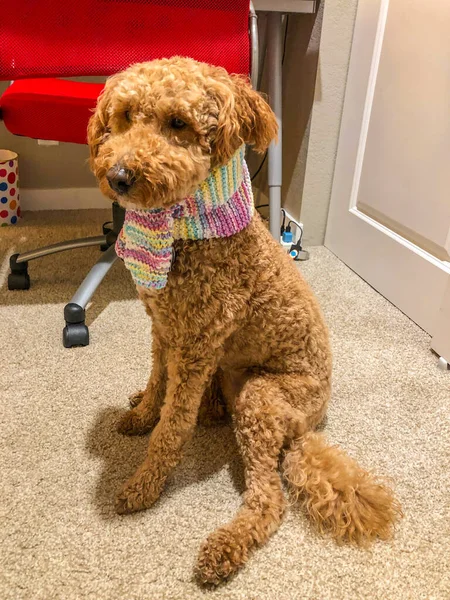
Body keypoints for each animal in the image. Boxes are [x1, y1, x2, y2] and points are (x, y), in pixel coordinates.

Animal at [88, 57, 400, 584]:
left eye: (178, 124)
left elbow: (172, 428)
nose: (120, 175)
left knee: (269, 500)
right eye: (126, 116)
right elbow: (156, 383)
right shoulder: (163, 329)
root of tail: (307, 427)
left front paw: (144, 485)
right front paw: (141, 413)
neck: (188, 235)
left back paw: (224, 547)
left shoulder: (194, 346)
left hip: (261, 398)